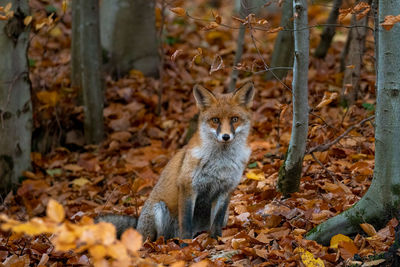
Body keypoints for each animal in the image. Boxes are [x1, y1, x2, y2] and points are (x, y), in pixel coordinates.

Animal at [96, 83, 253, 241]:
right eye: (215, 120)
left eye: (234, 119)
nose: (226, 136)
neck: (220, 163)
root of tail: (137, 225)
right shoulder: (187, 187)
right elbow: (186, 223)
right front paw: (186, 244)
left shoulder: (225, 190)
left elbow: (216, 223)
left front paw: (216, 241)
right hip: (158, 210)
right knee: (158, 238)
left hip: (224, 215)